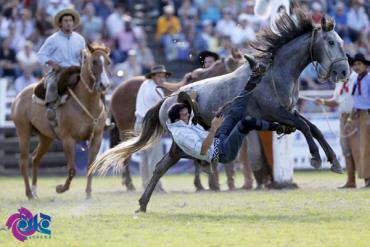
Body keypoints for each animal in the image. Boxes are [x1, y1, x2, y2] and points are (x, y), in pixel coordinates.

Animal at [11, 43, 111, 199]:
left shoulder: (97, 138)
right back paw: (29, 194)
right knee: (23, 161)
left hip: (46, 138)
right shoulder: (68, 140)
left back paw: (34, 191)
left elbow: (90, 166)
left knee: (35, 158)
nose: (104, 85)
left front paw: (88, 193)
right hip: (23, 133)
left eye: (108, 62)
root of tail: (19, 97)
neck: (86, 103)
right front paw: (60, 189)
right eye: (94, 61)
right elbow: (72, 169)